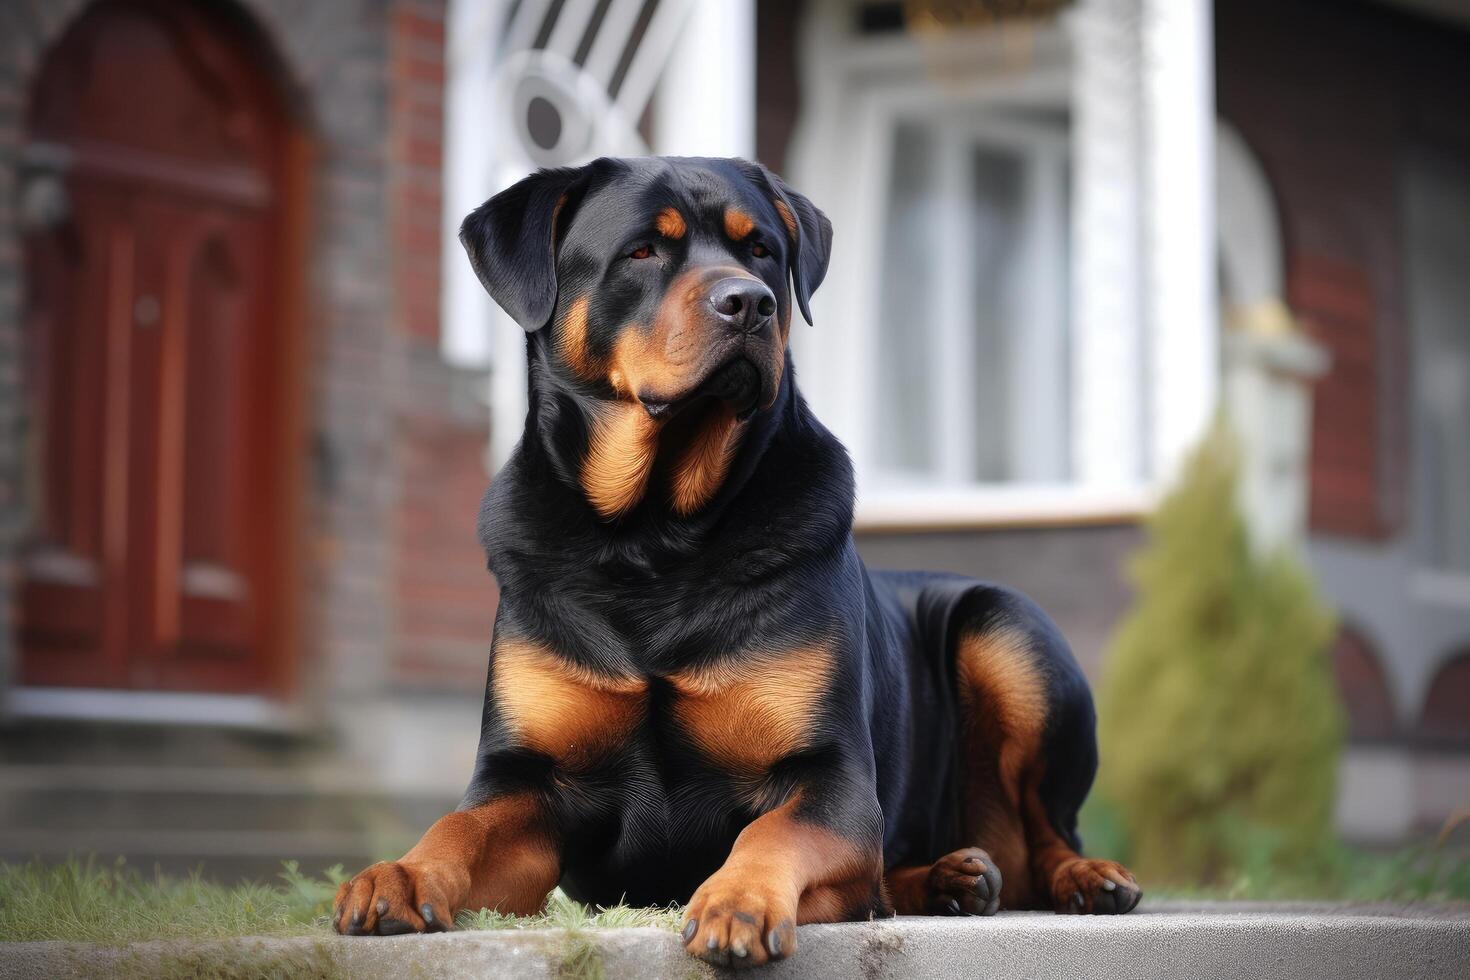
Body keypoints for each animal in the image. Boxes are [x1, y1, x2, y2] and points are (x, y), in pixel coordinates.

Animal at [333, 157, 1134, 963]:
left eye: (761, 252)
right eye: (642, 251)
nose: (748, 301)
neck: (651, 535)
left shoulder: (829, 773)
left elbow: (774, 830)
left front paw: (736, 900)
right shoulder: (525, 779)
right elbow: (461, 824)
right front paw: (398, 875)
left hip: (1006, 627)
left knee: (1043, 833)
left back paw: (1085, 878)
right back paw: (951, 878)